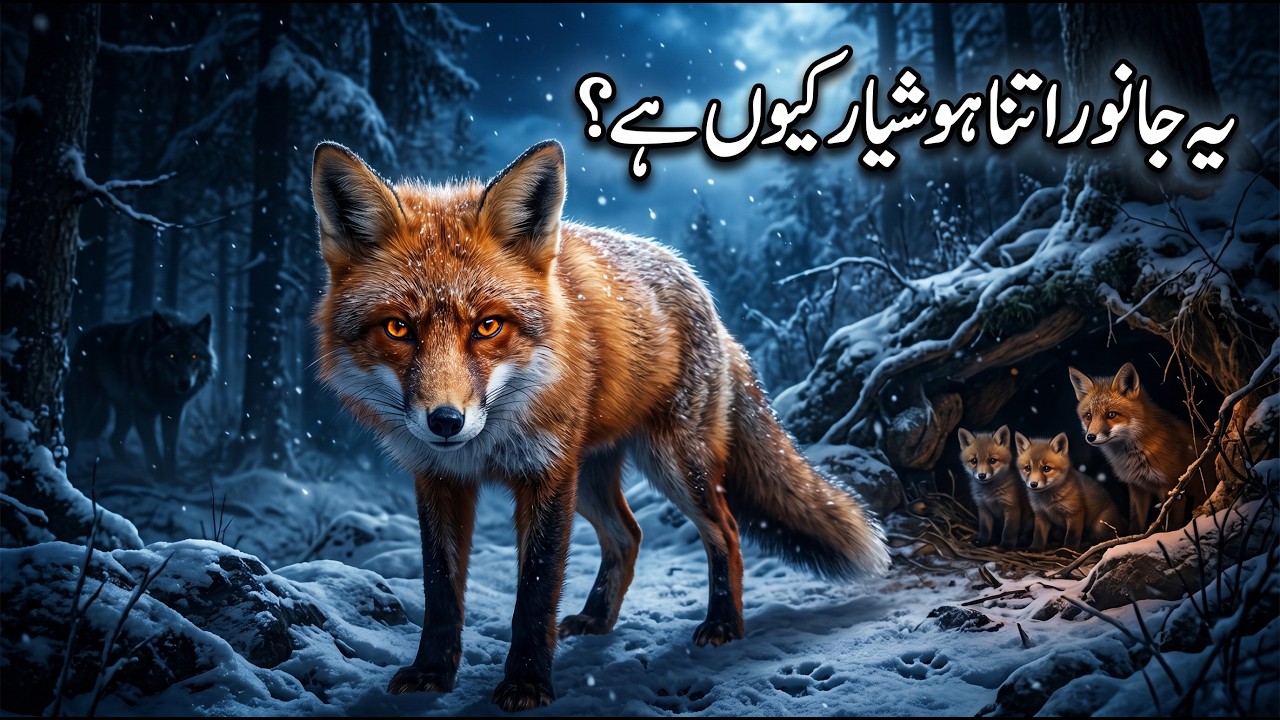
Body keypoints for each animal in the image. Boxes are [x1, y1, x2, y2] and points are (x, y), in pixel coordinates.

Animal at [66, 310, 216, 477]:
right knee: (72, 433)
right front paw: (159, 475)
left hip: (125, 411)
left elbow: (170, 446)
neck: (163, 390)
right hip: (88, 407)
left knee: (114, 439)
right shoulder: (143, 412)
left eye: (194, 356)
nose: (185, 382)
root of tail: (81, 339)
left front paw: (171, 475)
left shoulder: (173, 412)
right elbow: (152, 447)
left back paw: (130, 467)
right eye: (171, 356)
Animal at [309, 139, 891, 711]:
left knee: (724, 531)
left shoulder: (546, 475)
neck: (488, 441)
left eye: (488, 326)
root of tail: (709, 301)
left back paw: (724, 624)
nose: (446, 421)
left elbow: (536, 590)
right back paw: (597, 618)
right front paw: (432, 672)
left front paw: (527, 683)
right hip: (588, 478)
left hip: (672, 467)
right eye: (398, 328)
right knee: (628, 536)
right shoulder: (439, 479)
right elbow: (440, 588)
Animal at [1067, 362, 1216, 532]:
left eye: (1111, 415)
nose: (1090, 437)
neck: (1138, 454)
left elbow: (1170, 526)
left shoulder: (1174, 490)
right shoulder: (1137, 487)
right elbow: (1136, 523)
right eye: (1088, 416)